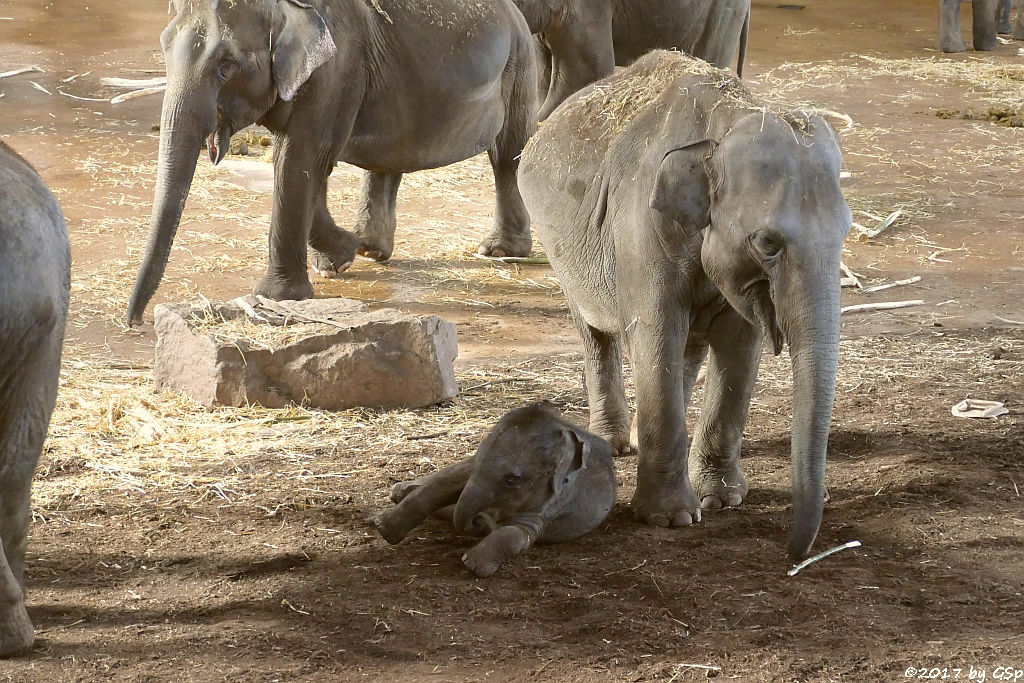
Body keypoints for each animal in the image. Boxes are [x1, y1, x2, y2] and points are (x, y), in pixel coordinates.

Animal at [126, 0, 536, 327]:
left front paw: (281, 295)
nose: (136, 323)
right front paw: (339, 257)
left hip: (518, 62)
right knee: (391, 150)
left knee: (508, 154)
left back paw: (500, 252)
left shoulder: (339, 67)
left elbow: (299, 159)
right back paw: (371, 249)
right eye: (164, 49)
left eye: (226, 65)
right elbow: (309, 164)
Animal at [376, 405, 614, 577]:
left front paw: (472, 564)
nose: (479, 520)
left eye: (511, 481)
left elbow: (517, 534)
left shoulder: (554, 502)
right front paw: (383, 528)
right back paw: (398, 491)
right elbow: (444, 484)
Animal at [516, 52, 851, 561]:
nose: (794, 554)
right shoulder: (640, 228)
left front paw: (723, 499)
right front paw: (671, 519)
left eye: (846, 232)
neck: (725, 120)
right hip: (561, 250)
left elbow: (739, 344)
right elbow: (655, 333)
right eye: (767, 243)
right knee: (594, 331)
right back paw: (614, 444)